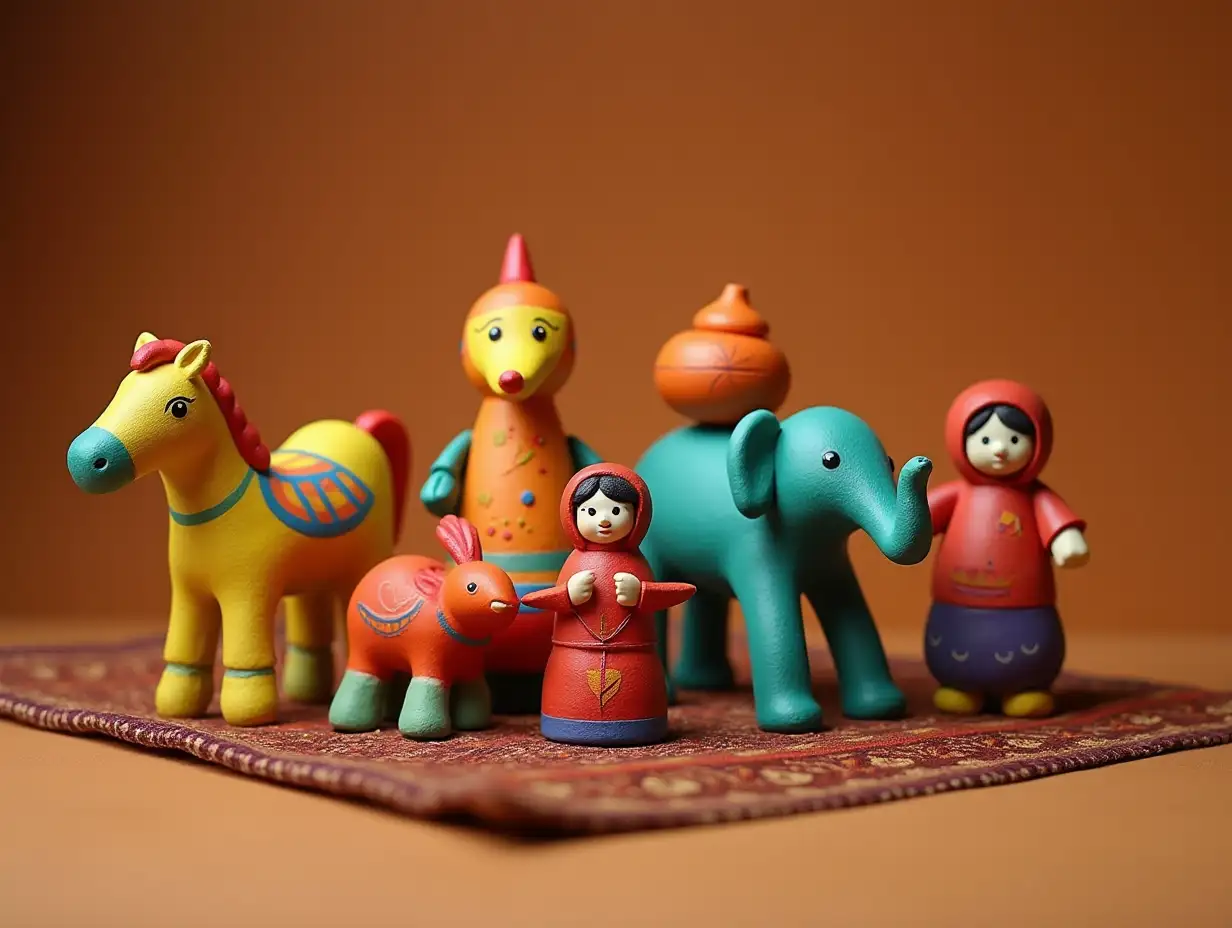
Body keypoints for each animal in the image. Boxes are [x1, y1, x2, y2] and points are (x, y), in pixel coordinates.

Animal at [68, 330, 409, 724]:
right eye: (123, 389)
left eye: (179, 407)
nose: (84, 460)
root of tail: (358, 429)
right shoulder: (188, 593)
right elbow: (184, 649)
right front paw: (178, 704)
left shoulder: (246, 592)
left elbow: (245, 653)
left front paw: (248, 709)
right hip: (312, 573)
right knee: (310, 623)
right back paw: (308, 694)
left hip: (365, 562)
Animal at [327, 515, 519, 739]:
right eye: (472, 587)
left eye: (508, 580)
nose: (510, 602)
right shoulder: (428, 657)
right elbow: (427, 689)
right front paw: (423, 728)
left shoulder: (471, 665)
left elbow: (473, 692)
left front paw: (473, 722)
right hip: (362, 650)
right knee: (362, 677)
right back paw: (349, 720)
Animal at [635, 406, 931, 729]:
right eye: (831, 460)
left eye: (889, 462)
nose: (923, 462)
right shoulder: (758, 545)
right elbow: (773, 615)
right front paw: (794, 721)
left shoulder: (830, 559)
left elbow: (853, 613)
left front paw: (880, 707)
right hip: (650, 539)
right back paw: (672, 695)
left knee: (707, 595)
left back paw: (706, 682)